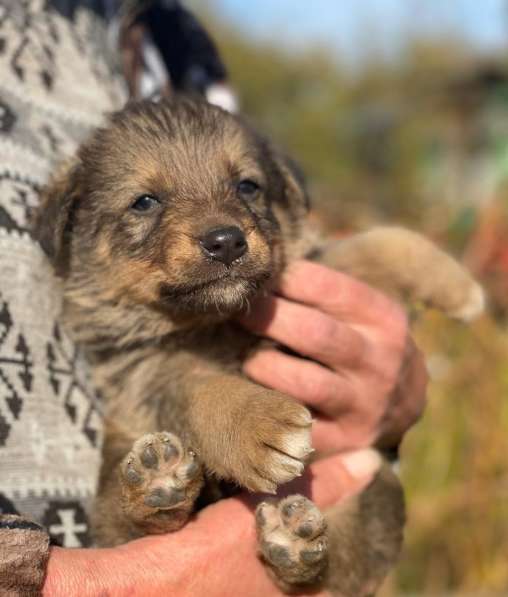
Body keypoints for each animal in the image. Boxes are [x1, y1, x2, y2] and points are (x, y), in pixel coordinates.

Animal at [32, 95, 484, 592]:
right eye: (145, 202)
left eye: (247, 186)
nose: (226, 241)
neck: (218, 319)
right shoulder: (151, 371)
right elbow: (208, 391)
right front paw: (260, 428)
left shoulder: (303, 279)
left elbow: (374, 243)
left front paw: (458, 285)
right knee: (131, 524)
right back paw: (159, 485)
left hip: (374, 494)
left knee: (327, 572)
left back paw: (291, 545)